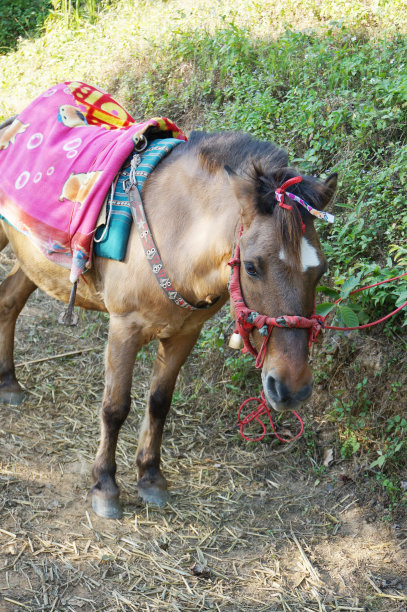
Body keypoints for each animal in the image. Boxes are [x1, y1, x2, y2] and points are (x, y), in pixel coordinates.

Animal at [0, 120, 338, 520]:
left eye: (320, 271)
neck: (178, 232)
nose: (292, 388)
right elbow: (115, 407)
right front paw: (105, 485)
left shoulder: (184, 334)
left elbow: (159, 402)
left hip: (33, 263)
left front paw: (150, 477)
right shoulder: (124, 329)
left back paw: (8, 382)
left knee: (8, 301)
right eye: (253, 267)